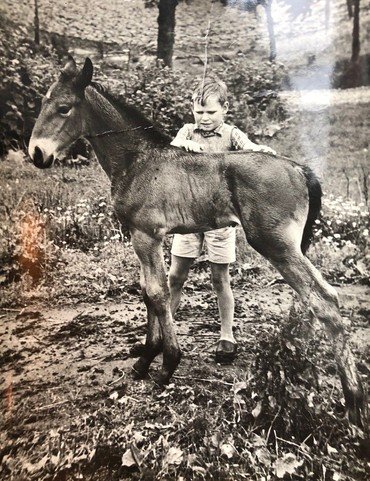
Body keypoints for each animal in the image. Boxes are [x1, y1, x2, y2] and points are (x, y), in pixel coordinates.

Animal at [28, 57, 364, 424]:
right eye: (43, 103)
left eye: (64, 108)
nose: (36, 153)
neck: (138, 160)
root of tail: (300, 169)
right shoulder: (146, 238)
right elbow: (148, 293)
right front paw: (148, 357)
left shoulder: (145, 236)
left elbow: (157, 294)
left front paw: (165, 365)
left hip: (277, 246)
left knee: (325, 301)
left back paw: (353, 400)